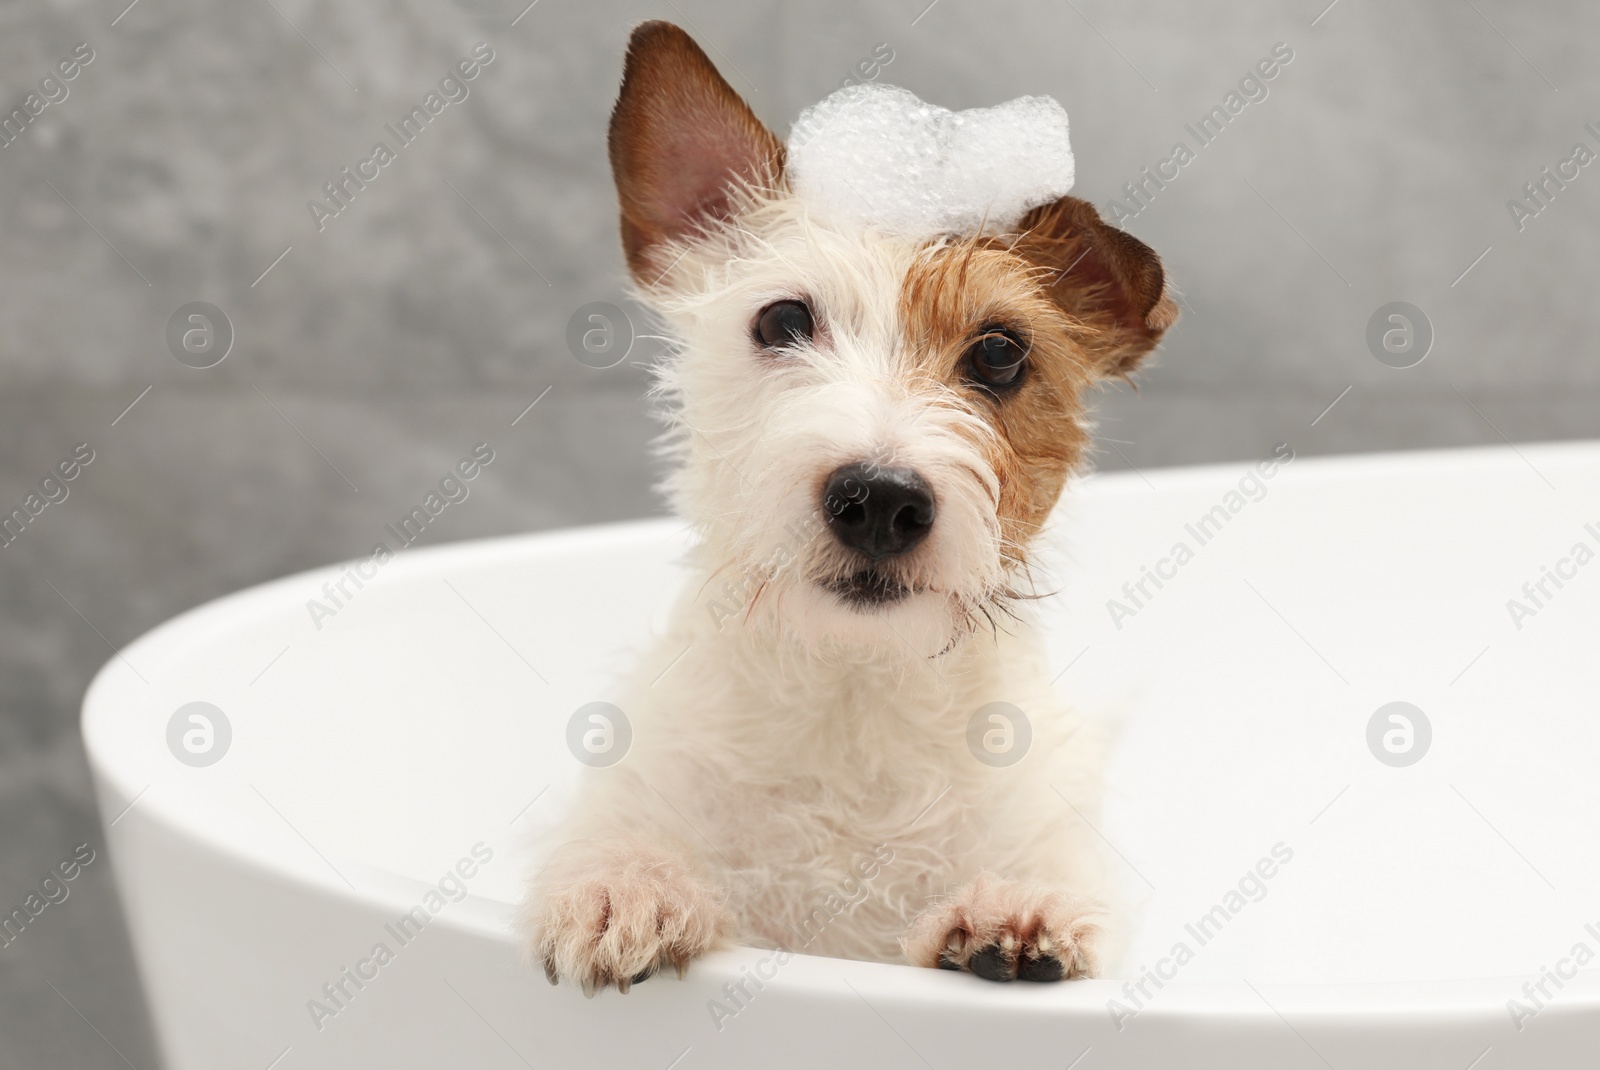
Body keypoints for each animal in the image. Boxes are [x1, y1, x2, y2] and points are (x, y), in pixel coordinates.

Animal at [524, 22, 1177, 991]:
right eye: (783, 320)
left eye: (999, 354)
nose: (879, 501)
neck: (852, 696)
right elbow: (626, 839)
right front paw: (629, 883)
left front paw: (1016, 907)